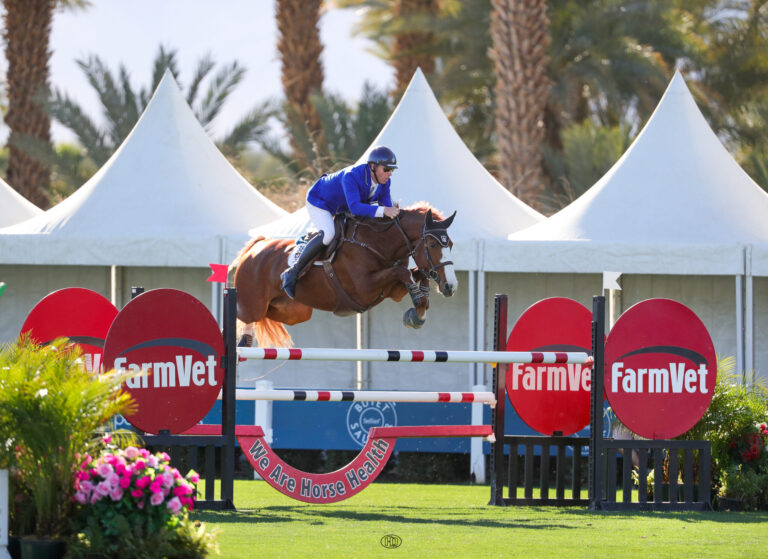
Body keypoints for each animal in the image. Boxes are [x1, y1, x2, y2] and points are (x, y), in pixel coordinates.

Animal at [230, 203, 456, 348]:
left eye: (451, 245)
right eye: (433, 244)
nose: (450, 287)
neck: (377, 243)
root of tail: (254, 248)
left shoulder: (393, 291)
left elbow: (416, 275)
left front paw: (419, 310)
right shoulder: (364, 289)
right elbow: (403, 272)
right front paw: (417, 310)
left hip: (294, 312)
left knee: (262, 318)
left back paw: (246, 340)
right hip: (251, 304)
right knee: (243, 316)